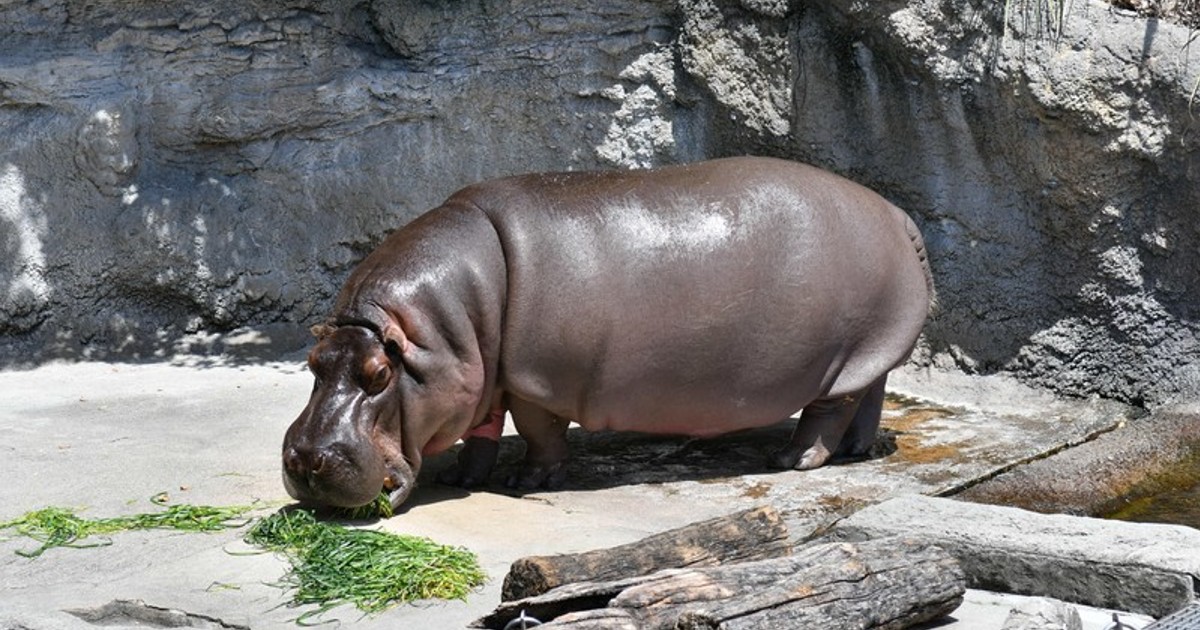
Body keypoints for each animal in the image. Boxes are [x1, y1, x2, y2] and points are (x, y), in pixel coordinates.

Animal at [282, 156, 935, 511]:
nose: (306, 459)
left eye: (379, 374)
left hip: (845, 355)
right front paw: (464, 475)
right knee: (872, 393)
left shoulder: (532, 379)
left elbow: (537, 429)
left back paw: (793, 460)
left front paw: (526, 481)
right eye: (312, 362)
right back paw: (856, 451)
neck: (449, 326)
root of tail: (897, 214)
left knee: (831, 407)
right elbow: (483, 425)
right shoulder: (480, 372)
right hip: (870, 351)